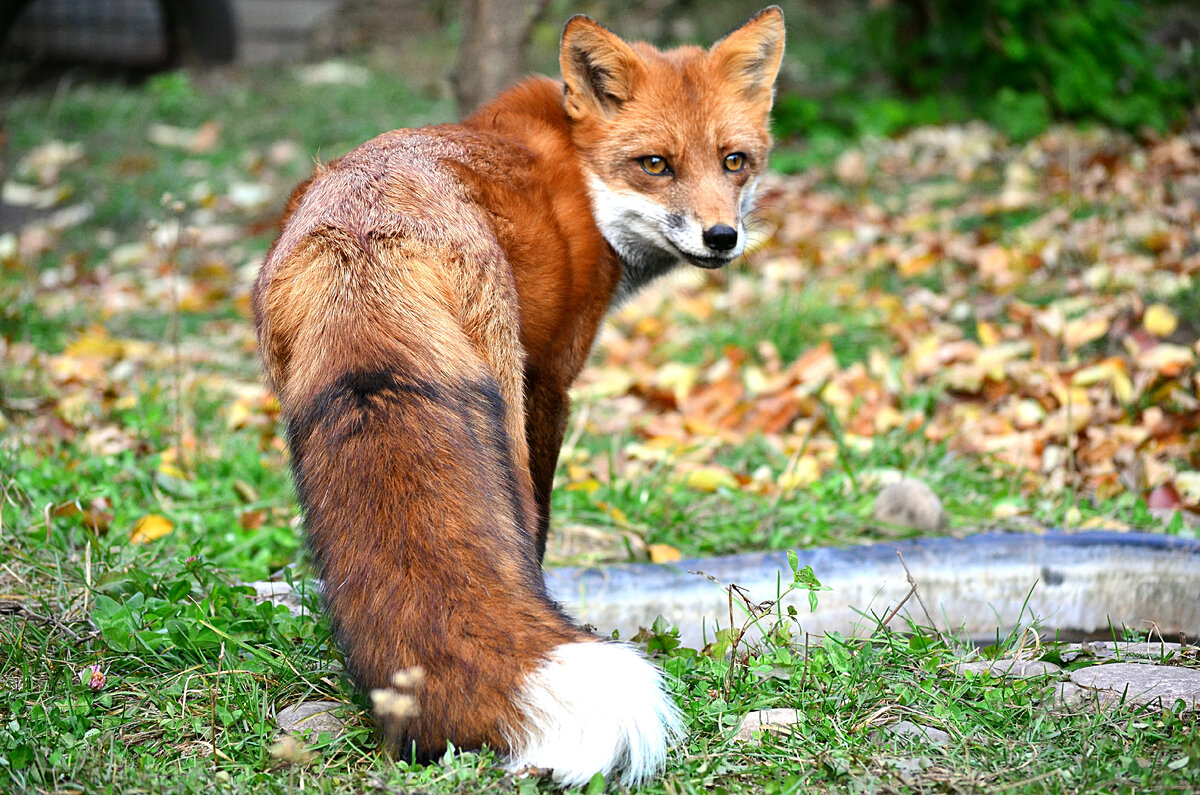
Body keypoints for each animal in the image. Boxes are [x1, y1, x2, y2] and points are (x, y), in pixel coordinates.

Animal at [253, 6, 787, 792]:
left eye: (734, 161)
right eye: (655, 164)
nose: (722, 236)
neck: (582, 174)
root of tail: (362, 232)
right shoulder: (553, 379)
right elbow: (535, 526)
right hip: (503, 400)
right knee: (520, 526)